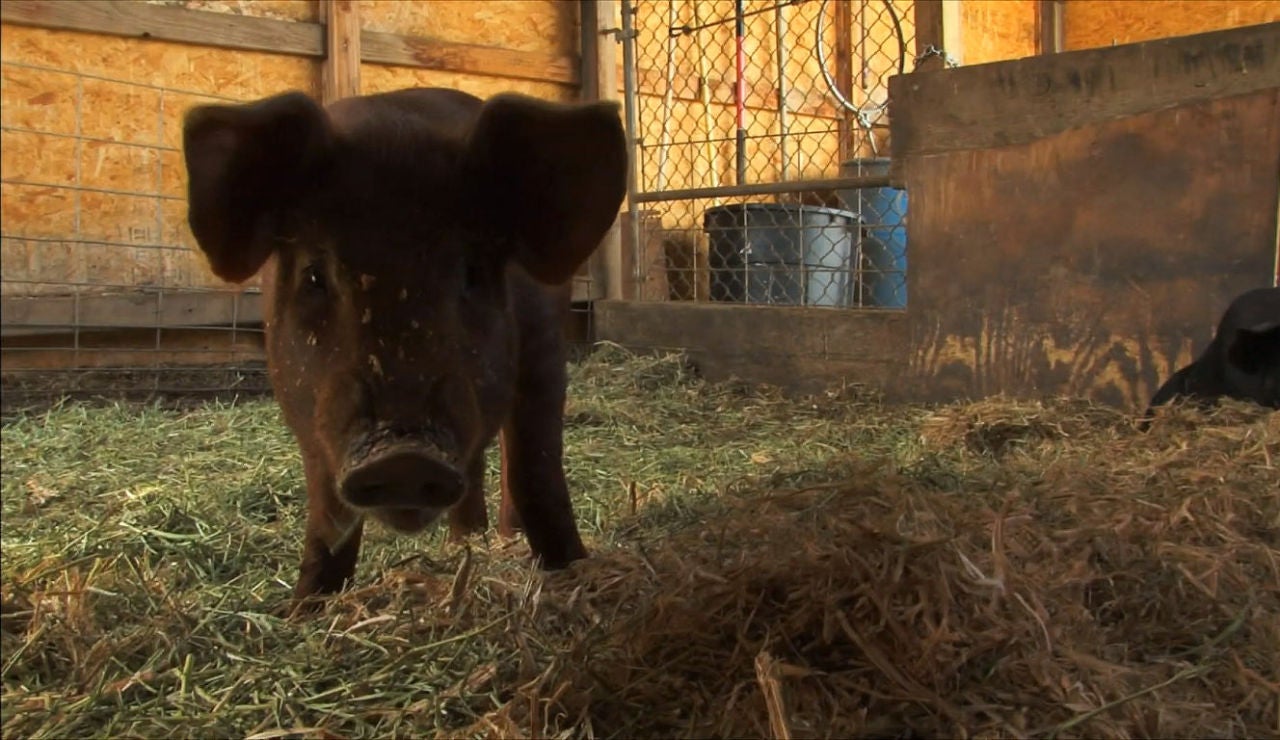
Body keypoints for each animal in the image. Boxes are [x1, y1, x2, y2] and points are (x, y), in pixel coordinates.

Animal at [182, 87, 627, 602]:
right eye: (314, 275)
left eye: (473, 272)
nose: (403, 457)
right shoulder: (305, 411)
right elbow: (328, 513)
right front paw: (305, 607)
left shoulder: (544, 352)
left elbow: (537, 469)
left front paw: (573, 571)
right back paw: (464, 542)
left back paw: (498, 538)